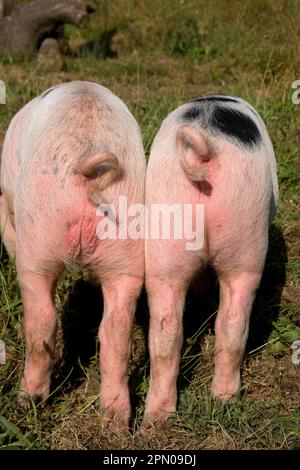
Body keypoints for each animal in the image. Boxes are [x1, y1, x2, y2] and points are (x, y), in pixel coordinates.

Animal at [0, 81, 145, 434]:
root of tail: (86, 166)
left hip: (38, 235)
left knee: (42, 322)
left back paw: (27, 401)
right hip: (126, 243)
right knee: (115, 331)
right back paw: (116, 423)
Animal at [144, 95, 278, 430]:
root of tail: (203, 153)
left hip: (169, 234)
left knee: (170, 330)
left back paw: (160, 419)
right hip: (248, 227)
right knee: (233, 319)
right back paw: (224, 401)